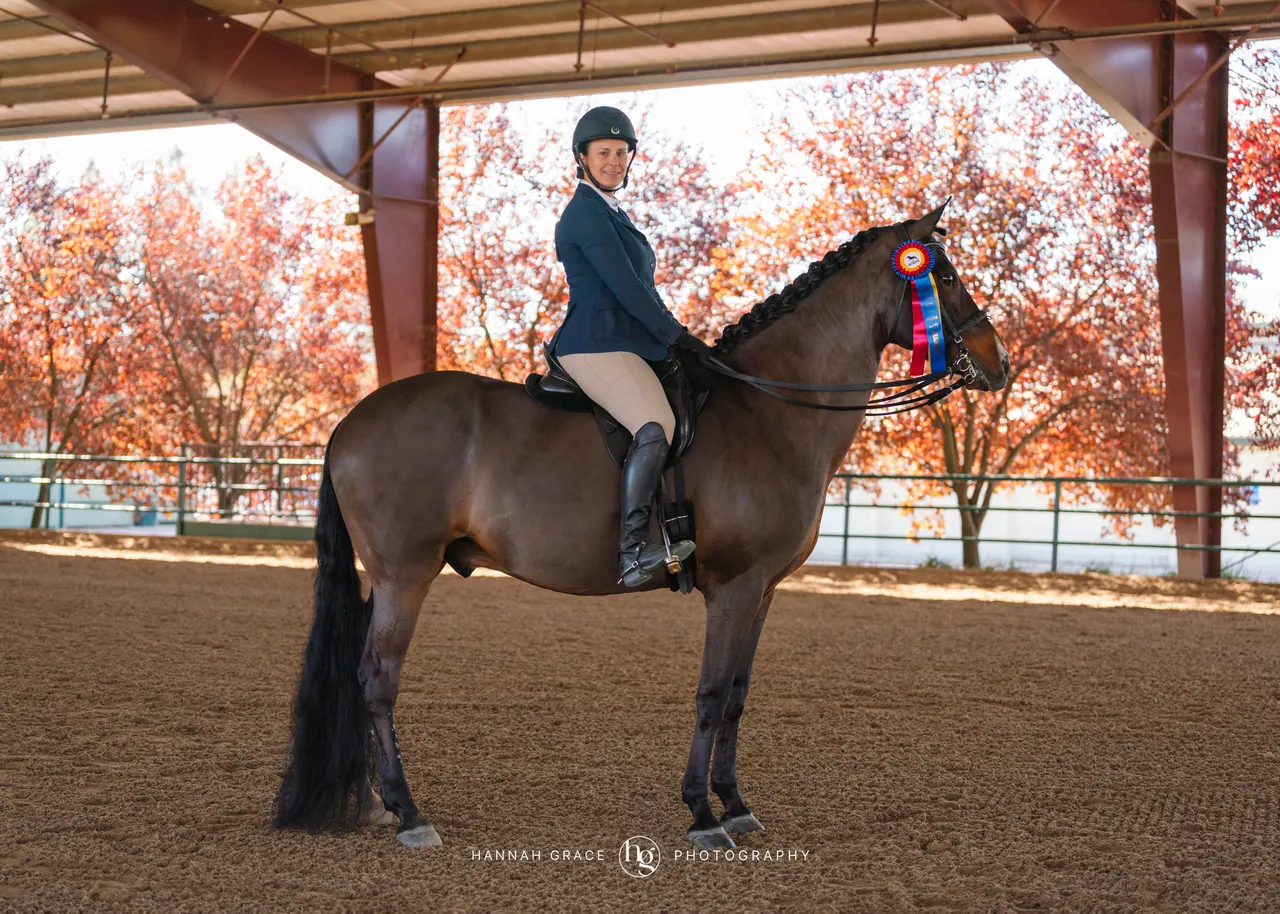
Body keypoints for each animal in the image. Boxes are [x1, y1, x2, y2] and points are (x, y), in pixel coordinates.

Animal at [271, 203, 1010, 850]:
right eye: (941, 274)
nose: (996, 361)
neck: (771, 410)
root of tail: (350, 422)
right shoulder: (735, 586)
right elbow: (710, 693)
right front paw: (702, 815)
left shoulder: (764, 589)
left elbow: (737, 695)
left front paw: (736, 806)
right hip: (404, 576)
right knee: (376, 680)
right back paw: (408, 813)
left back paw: (376, 804)